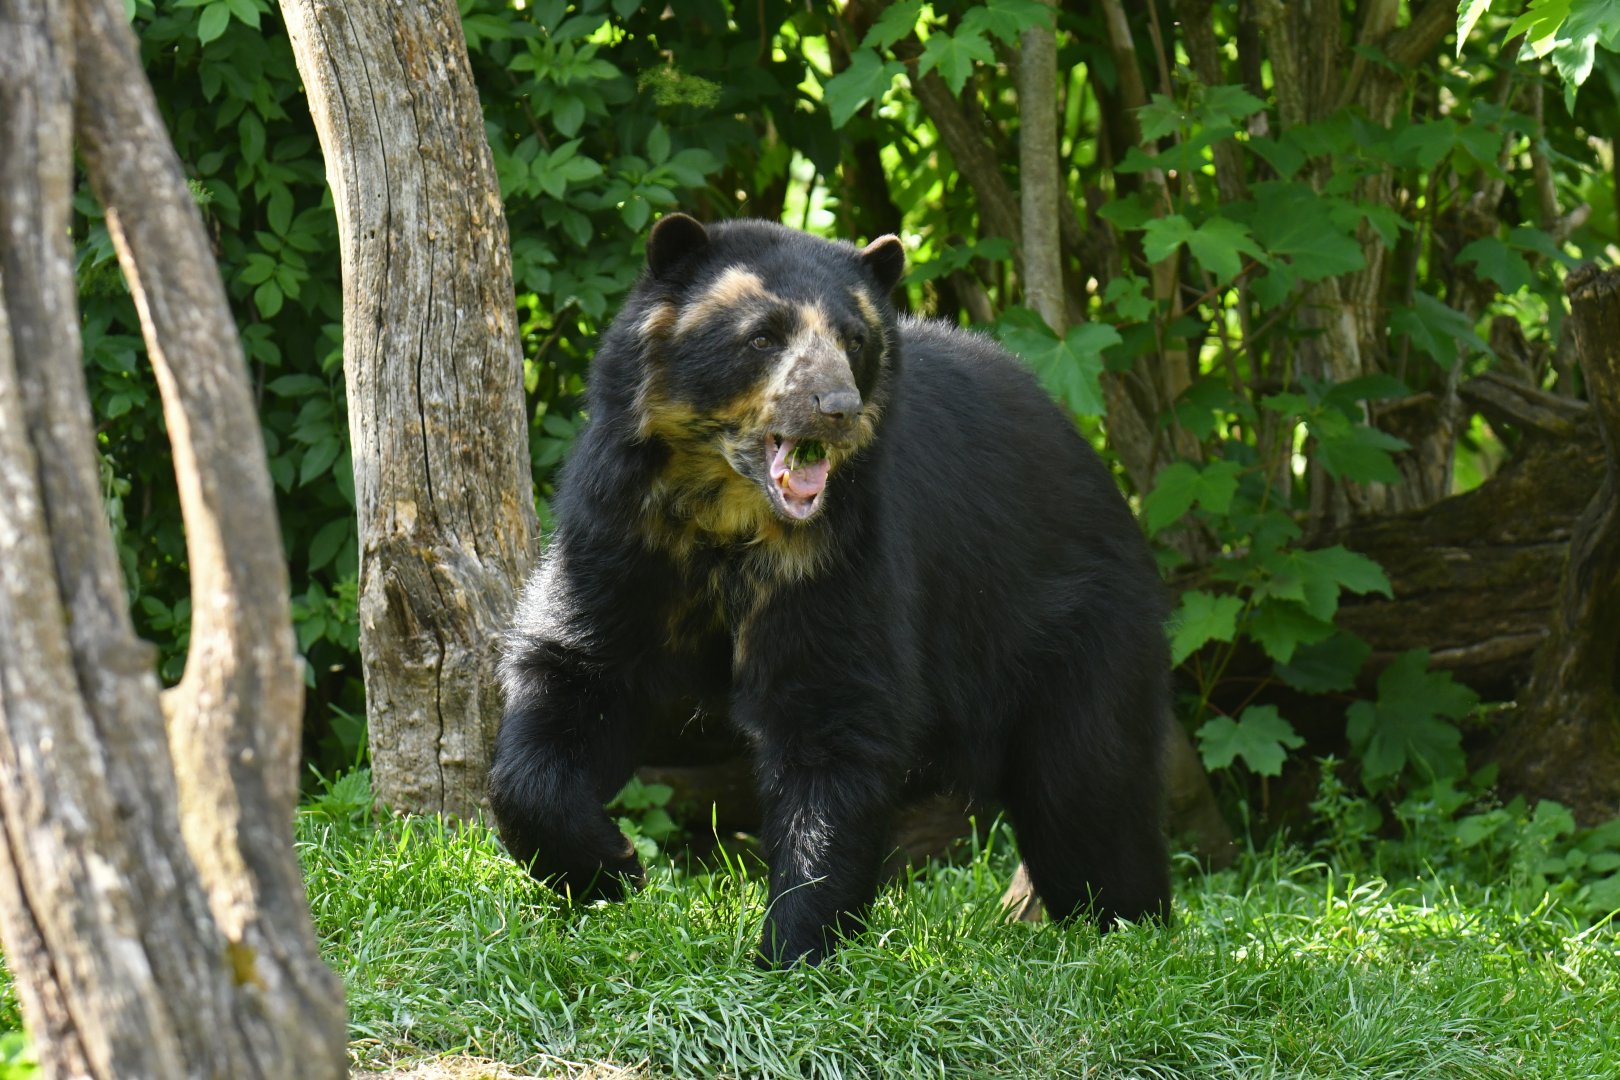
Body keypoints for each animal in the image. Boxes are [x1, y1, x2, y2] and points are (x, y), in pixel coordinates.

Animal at [489, 213, 1172, 966]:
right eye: (762, 336)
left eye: (854, 341)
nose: (837, 407)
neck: (729, 515)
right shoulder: (622, 535)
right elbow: (575, 673)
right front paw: (610, 867)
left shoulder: (841, 554)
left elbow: (836, 722)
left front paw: (793, 949)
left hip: (1078, 631)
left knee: (1087, 793)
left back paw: (1128, 927)